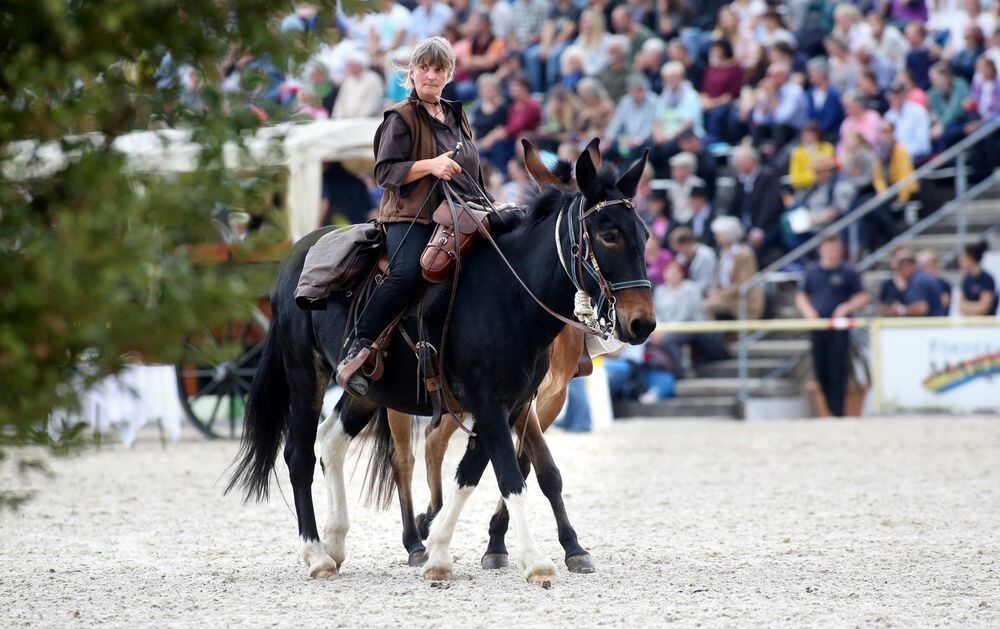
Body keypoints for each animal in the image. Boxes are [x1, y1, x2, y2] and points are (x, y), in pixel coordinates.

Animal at [230, 145, 660, 580]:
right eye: (608, 234)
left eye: (644, 234)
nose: (641, 323)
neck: (508, 294)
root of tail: (295, 256)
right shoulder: (489, 401)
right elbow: (511, 475)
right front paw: (535, 560)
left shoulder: (516, 402)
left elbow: (478, 473)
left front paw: (441, 550)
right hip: (307, 375)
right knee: (305, 456)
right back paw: (319, 553)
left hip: (367, 388)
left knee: (333, 439)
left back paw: (339, 541)